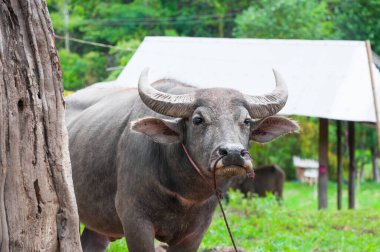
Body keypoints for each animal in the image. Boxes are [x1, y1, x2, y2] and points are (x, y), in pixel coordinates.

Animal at [66, 68, 300, 251]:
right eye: (198, 119)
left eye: (247, 121)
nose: (233, 153)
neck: (184, 192)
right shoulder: (135, 222)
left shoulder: (196, 231)